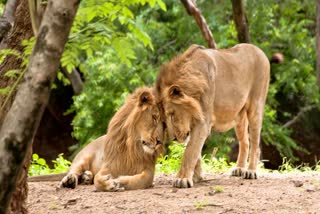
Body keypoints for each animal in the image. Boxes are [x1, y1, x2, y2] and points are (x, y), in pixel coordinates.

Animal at [28, 87, 164, 192]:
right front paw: (111, 184)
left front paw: (119, 181)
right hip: (82, 157)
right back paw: (70, 180)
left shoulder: (149, 170)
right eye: (154, 118)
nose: (159, 141)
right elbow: (98, 180)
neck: (133, 147)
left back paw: (86, 177)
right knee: (72, 171)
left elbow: (139, 180)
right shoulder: (109, 166)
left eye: (163, 124)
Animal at [155, 43, 270, 187]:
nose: (174, 138)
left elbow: (190, 151)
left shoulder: (203, 122)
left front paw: (182, 179)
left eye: (171, 114)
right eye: (163, 119)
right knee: (245, 141)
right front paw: (196, 176)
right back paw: (239, 169)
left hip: (255, 106)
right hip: (239, 116)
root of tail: (259, 50)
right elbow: (195, 151)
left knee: (255, 143)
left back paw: (251, 172)